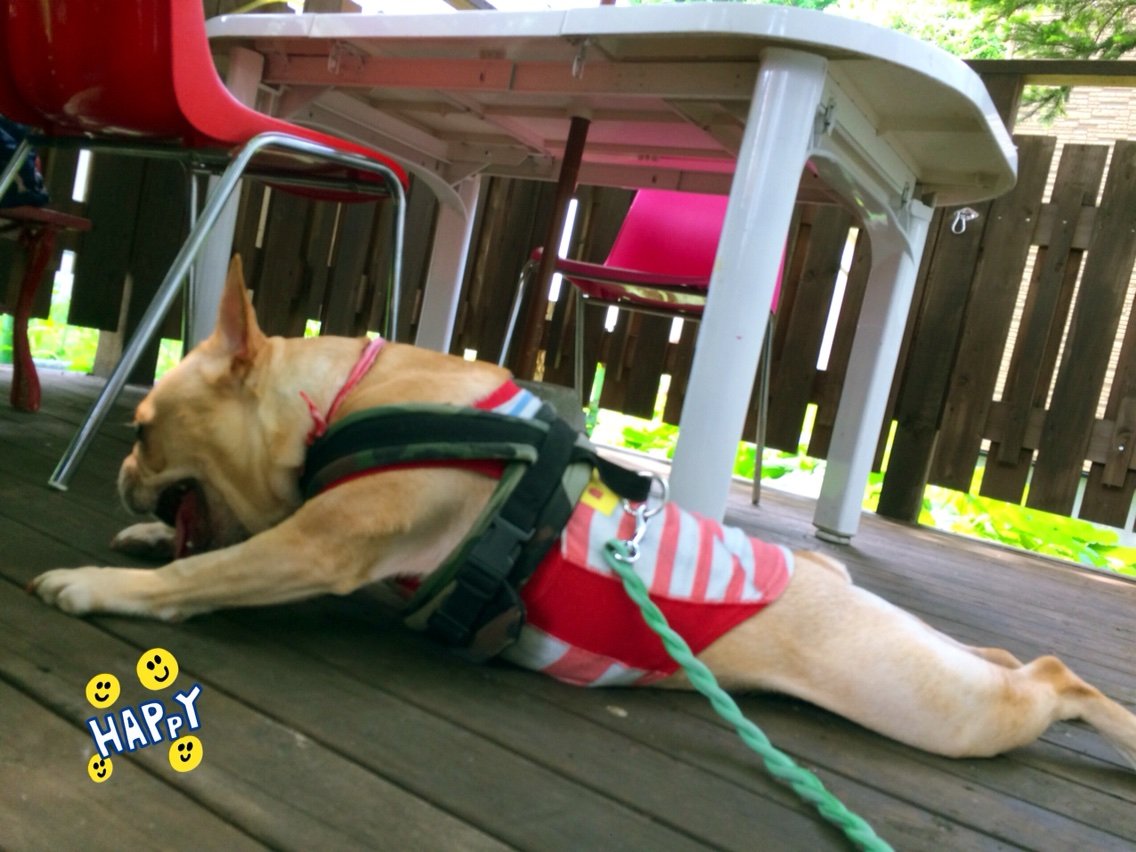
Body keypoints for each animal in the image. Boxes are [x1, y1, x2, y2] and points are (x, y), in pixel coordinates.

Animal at [29, 257, 1136, 769]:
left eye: (142, 432)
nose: (122, 471)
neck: (338, 399)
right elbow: (217, 546)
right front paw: (136, 537)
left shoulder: (322, 543)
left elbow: (205, 570)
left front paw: (101, 580)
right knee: (1002, 656)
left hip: (939, 708)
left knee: (1045, 676)